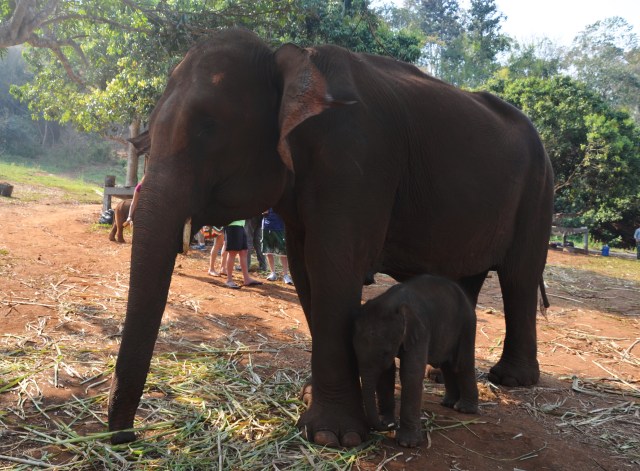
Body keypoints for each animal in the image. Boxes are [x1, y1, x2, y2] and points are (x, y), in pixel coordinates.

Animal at [354, 274, 478, 448]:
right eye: (354, 351)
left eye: (385, 352)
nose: (390, 426)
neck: (392, 302)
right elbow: (386, 374)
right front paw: (387, 421)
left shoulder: (421, 331)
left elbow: (410, 375)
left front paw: (407, 444)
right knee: (447, 365)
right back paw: (448, 403)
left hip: (467, 323)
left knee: (461, 364)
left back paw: (464, 409)